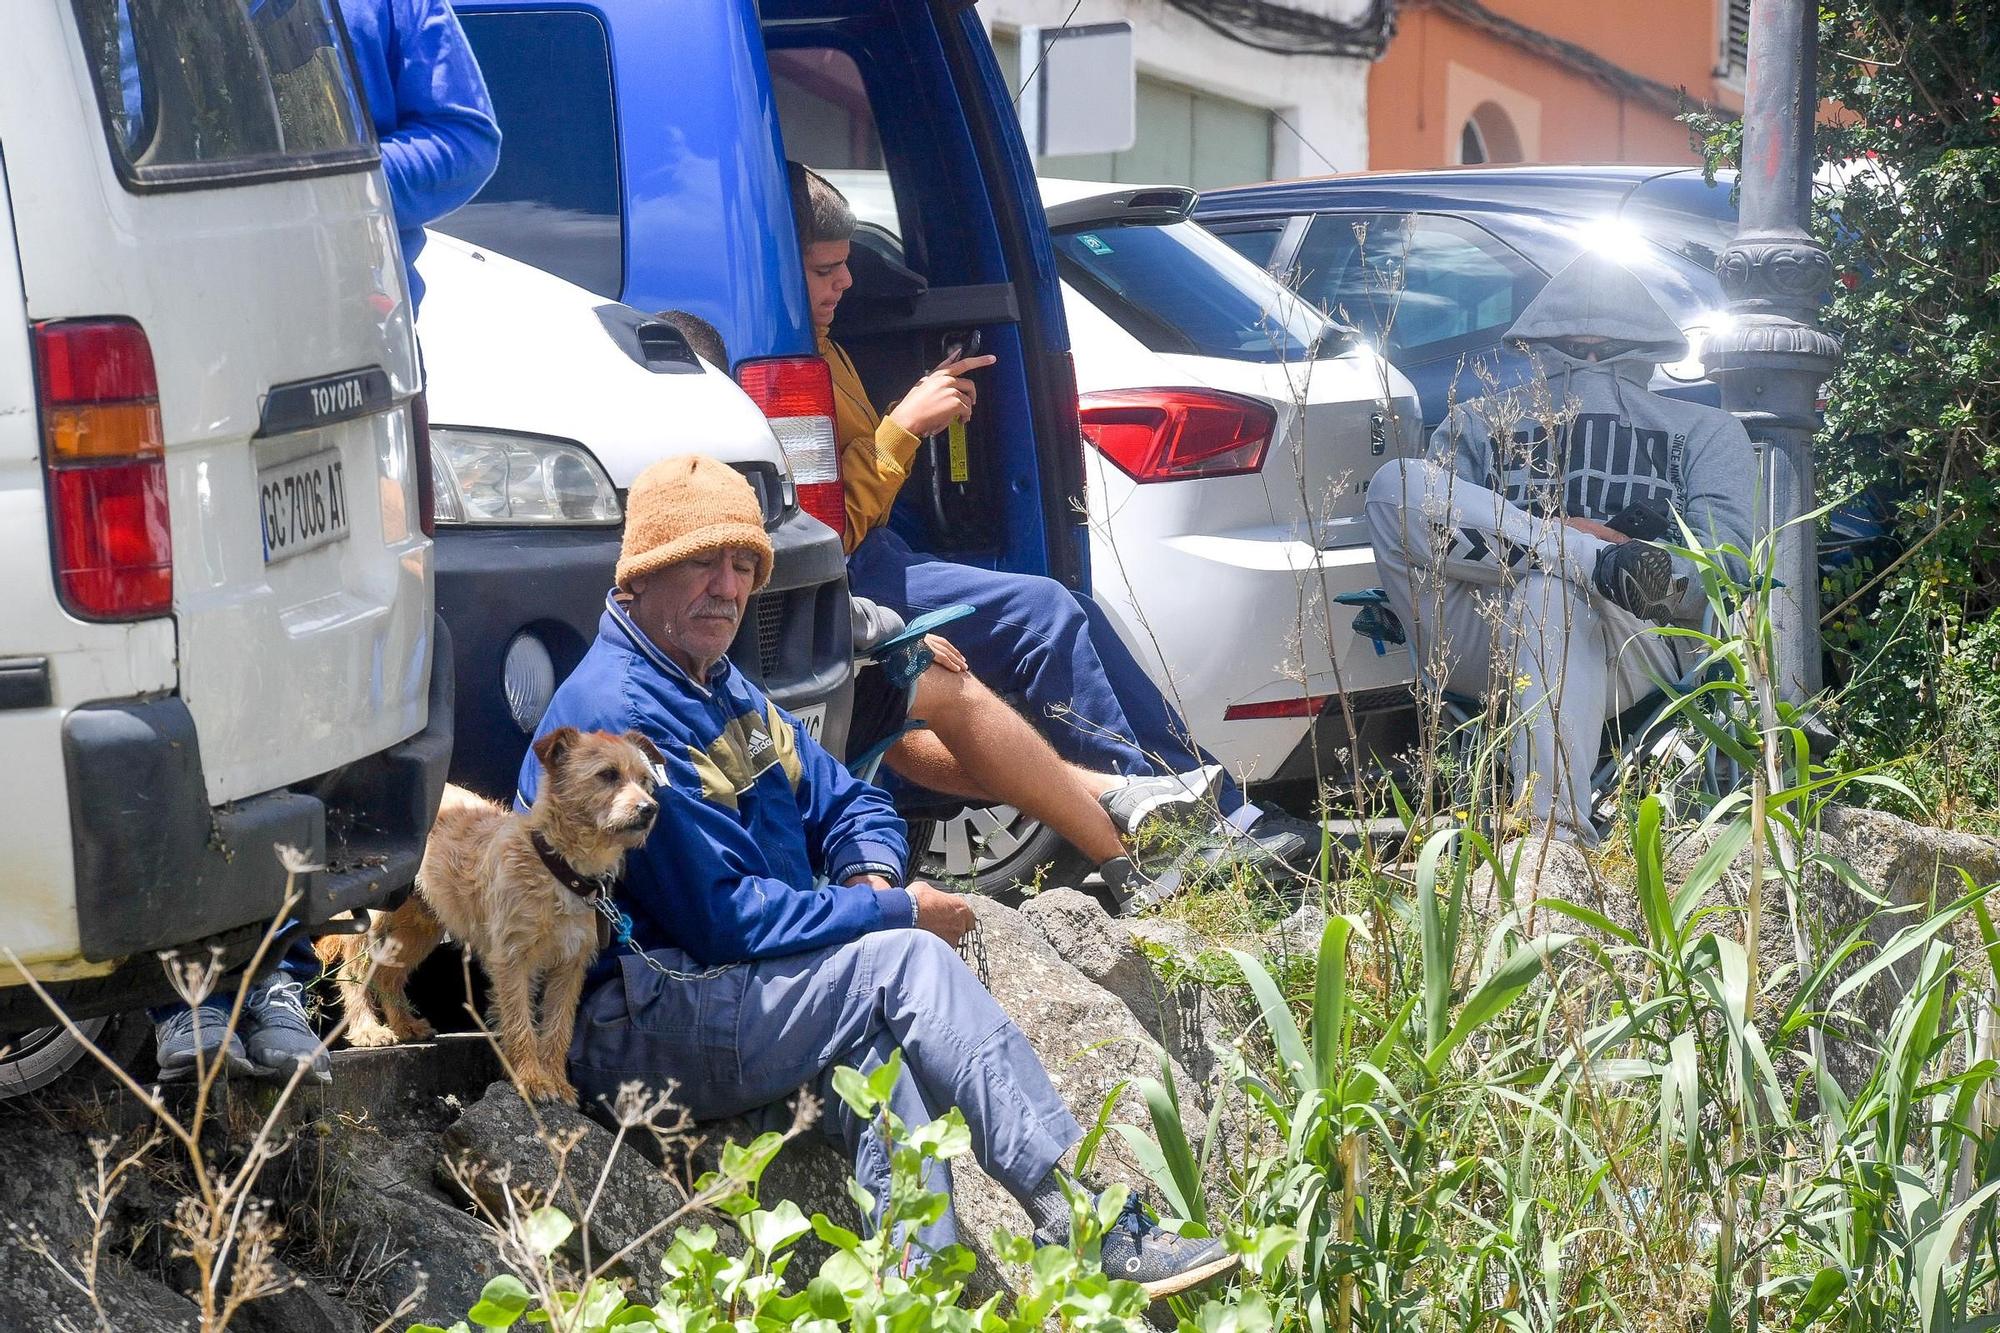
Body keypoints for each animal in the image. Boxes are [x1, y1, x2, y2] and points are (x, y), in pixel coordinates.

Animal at [320, 728, 664, 1096]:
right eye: (607, 775)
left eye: (645, 781)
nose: (650, 808)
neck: (558, 866)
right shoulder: (512, 960)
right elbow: (520, 1022)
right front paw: (531, 1080)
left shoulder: (570, 966)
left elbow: (559, 1028)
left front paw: (557, 1081)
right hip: (377, 918)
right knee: (353, 971)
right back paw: (368, 1029)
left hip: (422, 926)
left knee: (388, 974)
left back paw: (404, 1025)